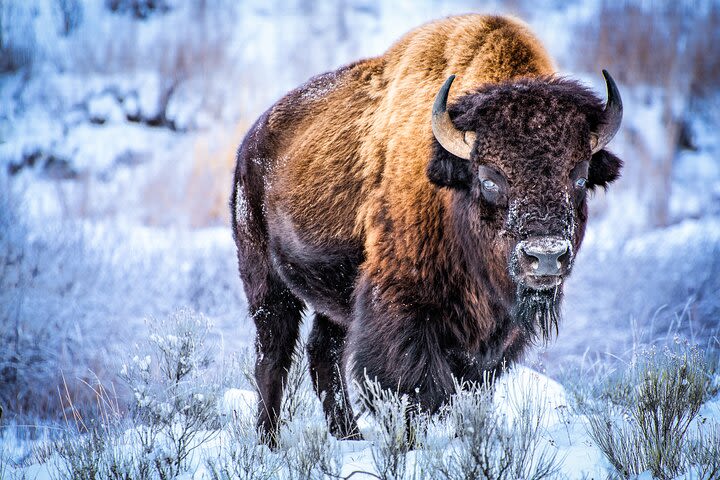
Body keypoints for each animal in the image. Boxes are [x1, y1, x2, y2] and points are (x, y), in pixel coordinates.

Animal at [232, 14, 624, 442]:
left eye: (580, 176)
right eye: (489, 178)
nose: (546, 257)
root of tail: (251, 142)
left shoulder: (496, 335)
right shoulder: (402, 307)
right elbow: (419, 388)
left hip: (334, 297)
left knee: (323, 353)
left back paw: (349, 435)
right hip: (266, 282)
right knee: (273, 357)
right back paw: (268, 440)